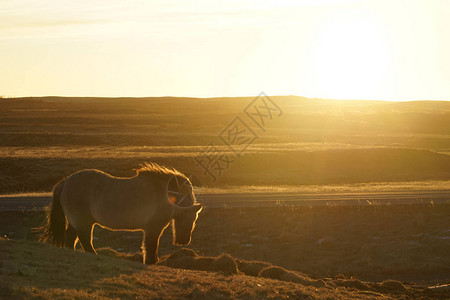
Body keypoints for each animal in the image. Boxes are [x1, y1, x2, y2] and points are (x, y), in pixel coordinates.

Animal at [39, 163, 203, 264]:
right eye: (193, 219)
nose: (184, 241)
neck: (166, 195)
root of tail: (65, 182)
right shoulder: (153, 228)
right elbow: (151, 247)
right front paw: (151, 262)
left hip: (76, 223)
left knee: (71, 238)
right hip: (83, 223)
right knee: (85, 240)